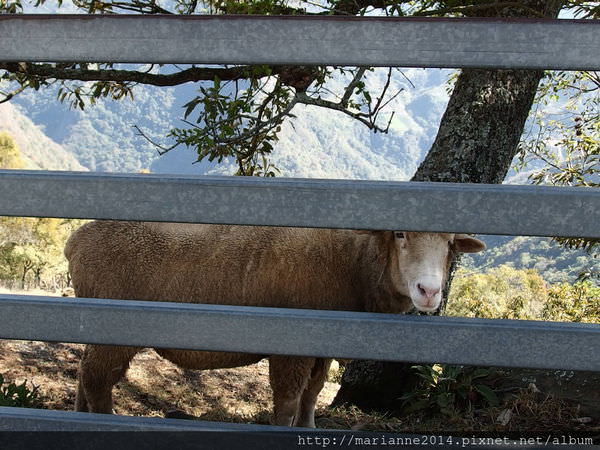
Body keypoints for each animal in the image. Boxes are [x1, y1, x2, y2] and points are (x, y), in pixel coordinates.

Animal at [65, 223, 486, 428]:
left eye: (451, 243)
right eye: (400, 235)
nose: (429, 291)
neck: (353, 265)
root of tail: (77, 239)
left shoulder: (321, 348)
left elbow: (311, 396)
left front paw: (309, 428)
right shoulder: (292, 346)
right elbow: (287, 401)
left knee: (86, 375)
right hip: (113, 330)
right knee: (98, 381)